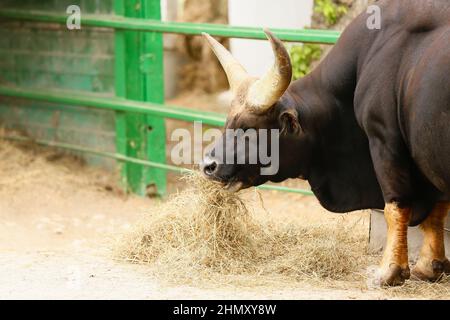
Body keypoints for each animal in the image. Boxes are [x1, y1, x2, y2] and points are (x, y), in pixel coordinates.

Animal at [201, 0, 450, 284]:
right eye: (228, 122)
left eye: (249, 128)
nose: (208, 165)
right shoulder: (427, 158)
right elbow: (437, 209)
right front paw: (430, 265)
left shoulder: (384, 141)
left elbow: (395, 208)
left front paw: (389, 272)